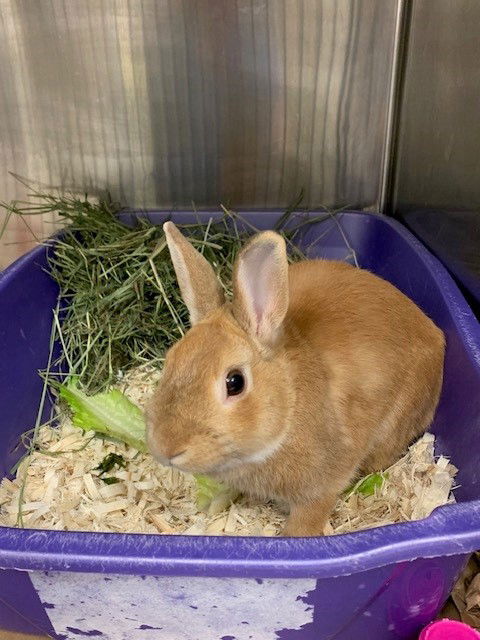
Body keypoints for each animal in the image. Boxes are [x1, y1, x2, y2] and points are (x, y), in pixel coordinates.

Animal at [144, 220, 444, 536]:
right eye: (170, 360)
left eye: (235, 382)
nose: (165, 448)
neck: (289, 404)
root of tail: (436, 336)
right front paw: (213, 507)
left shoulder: (321, 487)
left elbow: (308, 518)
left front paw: (292, 537)